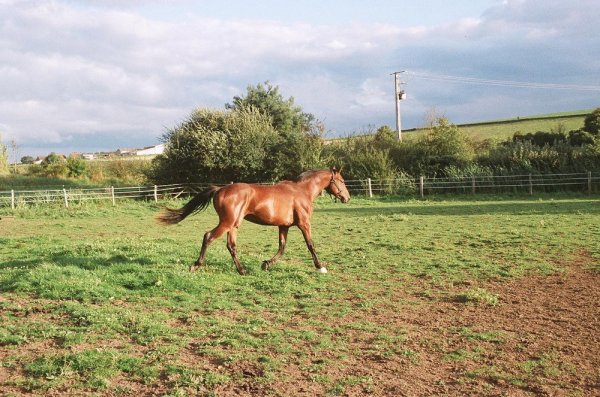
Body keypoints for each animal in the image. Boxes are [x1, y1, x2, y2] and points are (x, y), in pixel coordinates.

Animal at [157, 166, 350, 274]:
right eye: (341, 180)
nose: (347, 198)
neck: (302, 191)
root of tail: (220, 189)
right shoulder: (304, 224)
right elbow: (310, 245)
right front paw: (321, 267)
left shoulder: (284, 226)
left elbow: (282, 247)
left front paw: (266, 264)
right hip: (227, 223)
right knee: (208, 237)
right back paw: (196, 265)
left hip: (234, 225)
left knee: (231, 246)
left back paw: (242, 270)